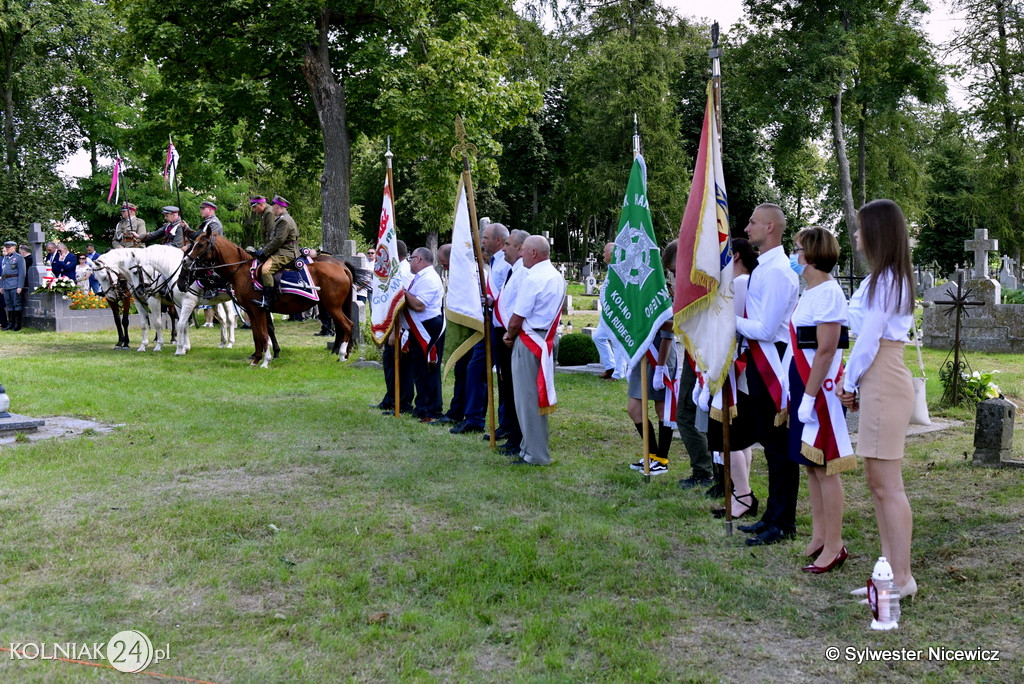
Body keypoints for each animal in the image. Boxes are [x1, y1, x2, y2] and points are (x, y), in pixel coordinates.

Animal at [186, 228, 370, 368]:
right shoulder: (252, 312)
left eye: (200, 244)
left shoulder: (258, 309)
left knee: (347, 325)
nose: (187, 262)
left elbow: (262, 334)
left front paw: (265, 361)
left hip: (332, 307)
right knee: (343, 327)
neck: (243, 272)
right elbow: (258, 335)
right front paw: (256, 359)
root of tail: (342, 266)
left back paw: (341, 355)